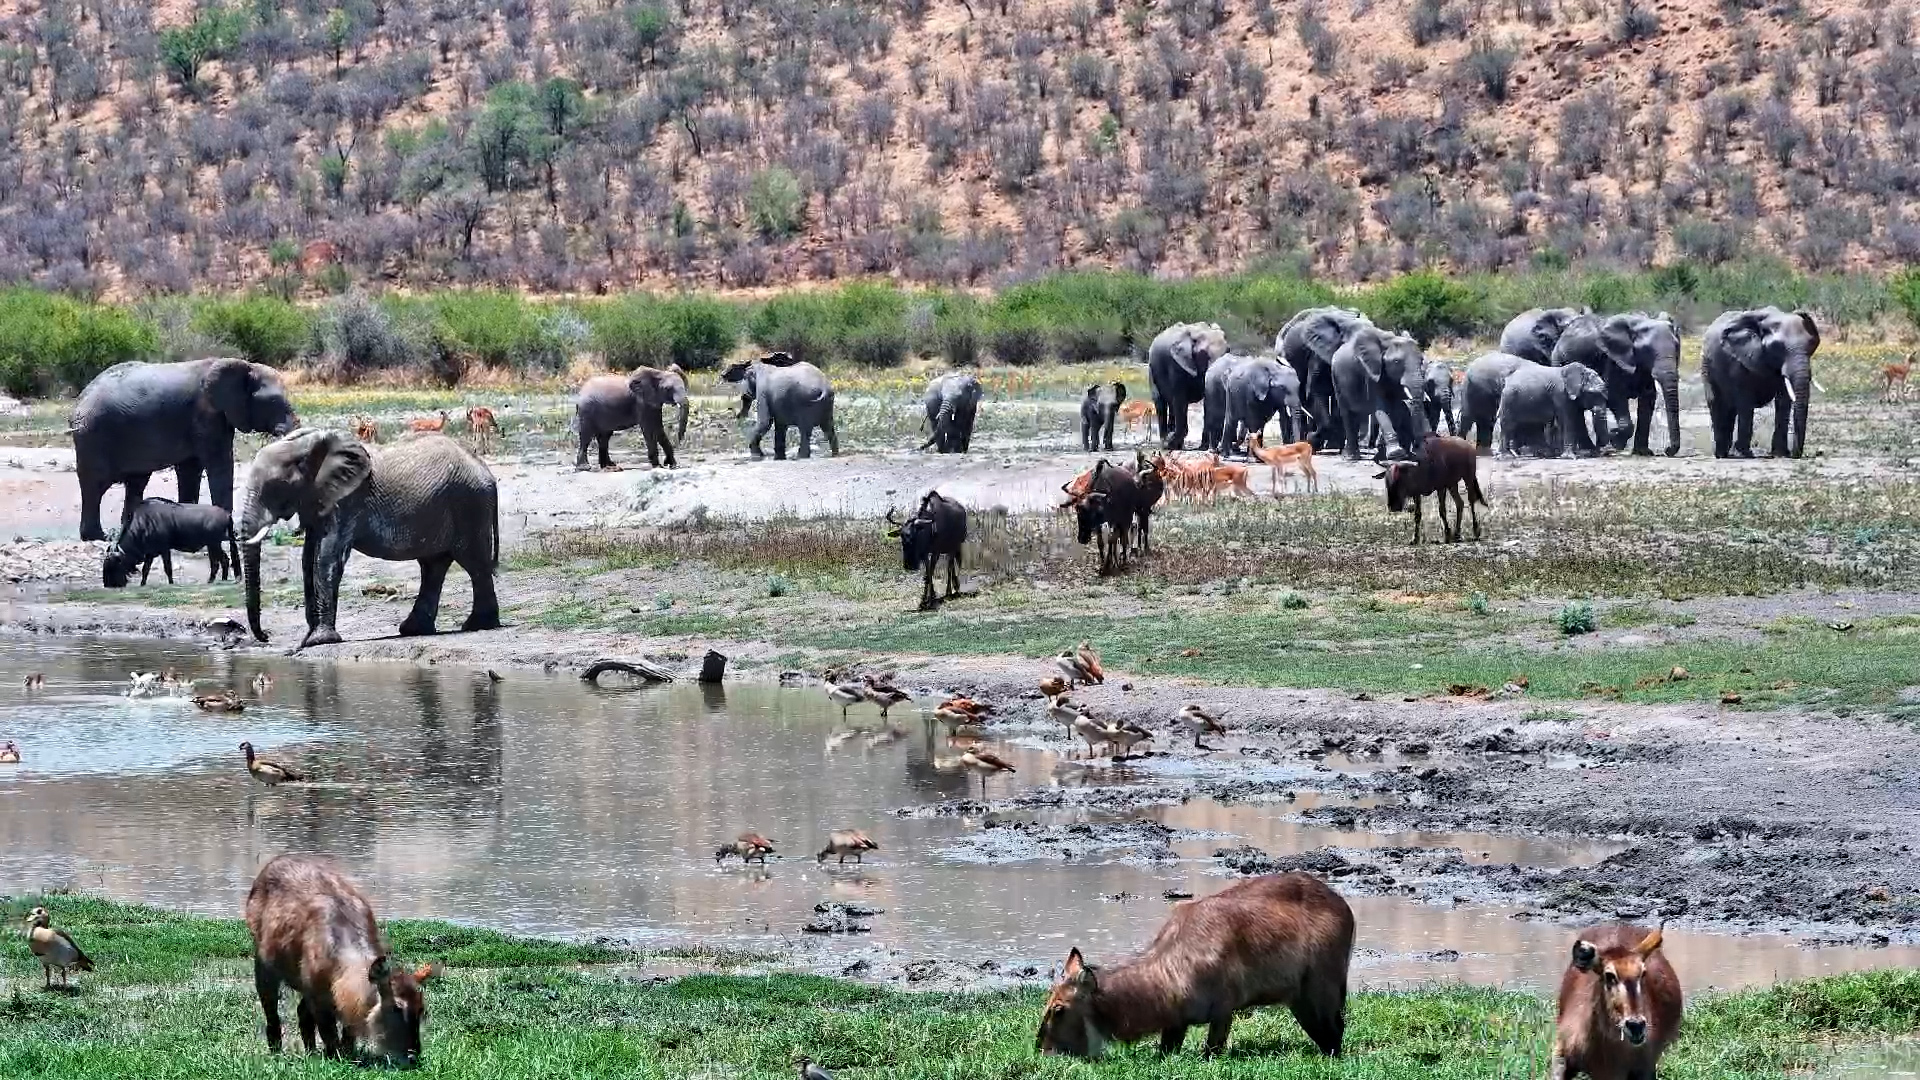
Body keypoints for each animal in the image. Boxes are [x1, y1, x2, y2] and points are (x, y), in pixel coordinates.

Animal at [71, 358, 300, 541]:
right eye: (272, 401)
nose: (296, 532)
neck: (243, 364)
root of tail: (80, 399)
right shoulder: (207, 415)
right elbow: (219, 465)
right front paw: (227, 533)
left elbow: (190, 470)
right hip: (93, 435)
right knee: (96, 484)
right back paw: (96, 536)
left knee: (136, 481)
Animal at [237, 429, 500, 651]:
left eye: (276, 486)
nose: (265, 637)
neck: (308, 446)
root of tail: (485, 469)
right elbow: (308, 559)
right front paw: (310, 640)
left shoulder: (347, 501)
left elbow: (326, 558)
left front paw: (319, 641)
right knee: (434, 567)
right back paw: (414, 630)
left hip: (470, 504)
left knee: (473, 563)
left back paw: (478, 625)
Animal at [1329, 326, 1429, 462]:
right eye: (1396, 361)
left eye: (1421, 361)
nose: (1419, 451)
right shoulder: (1371, 372)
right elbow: (1381, 408)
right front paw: (1396, 454)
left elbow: (1396, 408)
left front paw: (1399, 454)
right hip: (1336, 378)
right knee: (1348, 414)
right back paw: (1351, 457)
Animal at [1551, 313, 1682, 456]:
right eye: (1647, 350)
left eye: (1677, 346)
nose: (1667, 450)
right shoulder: (1612, 360)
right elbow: (1614, 396)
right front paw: (1615, 439)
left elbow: (1648, 398)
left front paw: (1643, 452)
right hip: (1559, 361)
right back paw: (1589, 449)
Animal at [1702, 307, 1820, 459]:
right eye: (1777, 347)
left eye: (1811, 344)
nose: (1796, 454)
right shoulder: (1739, 360)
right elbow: (1745, 402)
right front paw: (1745, 454)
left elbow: (1783, 401)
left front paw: (1781, 454)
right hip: (1706, 366)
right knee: (1716, 402)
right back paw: (1721, 454)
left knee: (1730, 409)